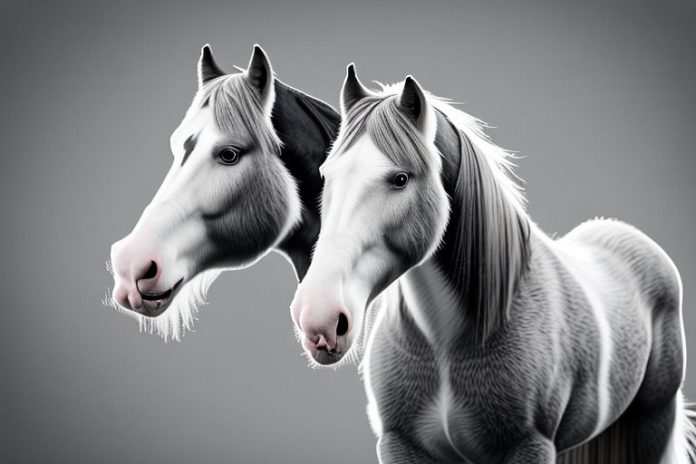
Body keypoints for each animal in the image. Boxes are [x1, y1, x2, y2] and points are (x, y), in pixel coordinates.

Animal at [289, 65, 696, 463]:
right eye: (325, 175)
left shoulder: (529, 446)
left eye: (400, 178)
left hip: (653, 423)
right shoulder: (400, 446)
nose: (318, 319)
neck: (447, 344)